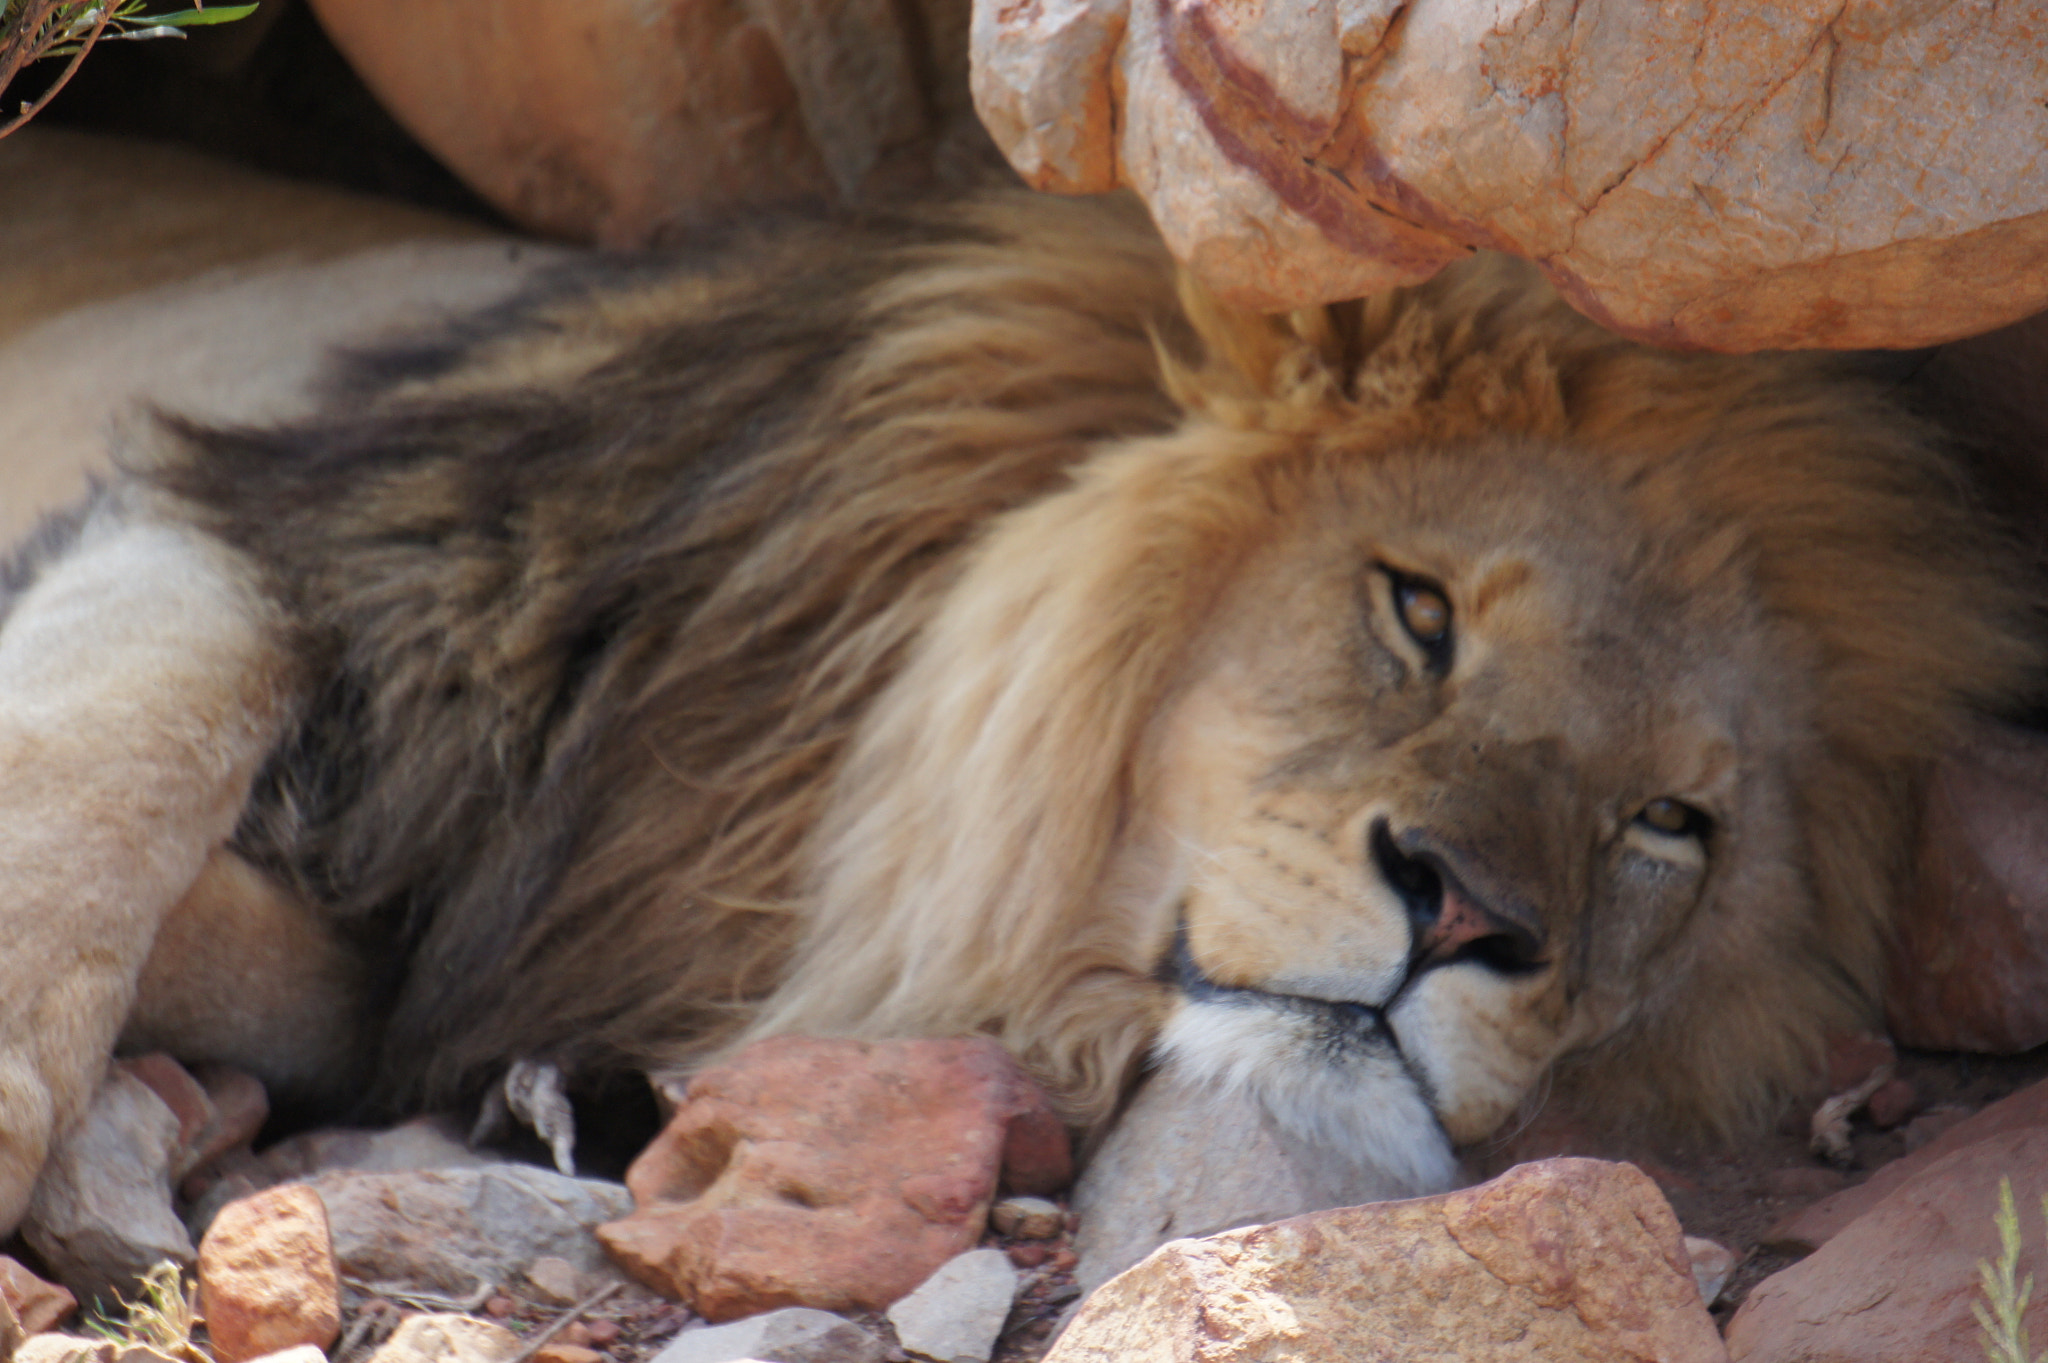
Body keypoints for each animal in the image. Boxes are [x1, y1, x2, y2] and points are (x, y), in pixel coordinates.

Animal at [0, 187, 2035, 1235]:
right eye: (1420, 611)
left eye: (1666, 824)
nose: (1469, 913)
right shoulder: (286, 517)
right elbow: (130, 741)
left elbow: (298, 966)